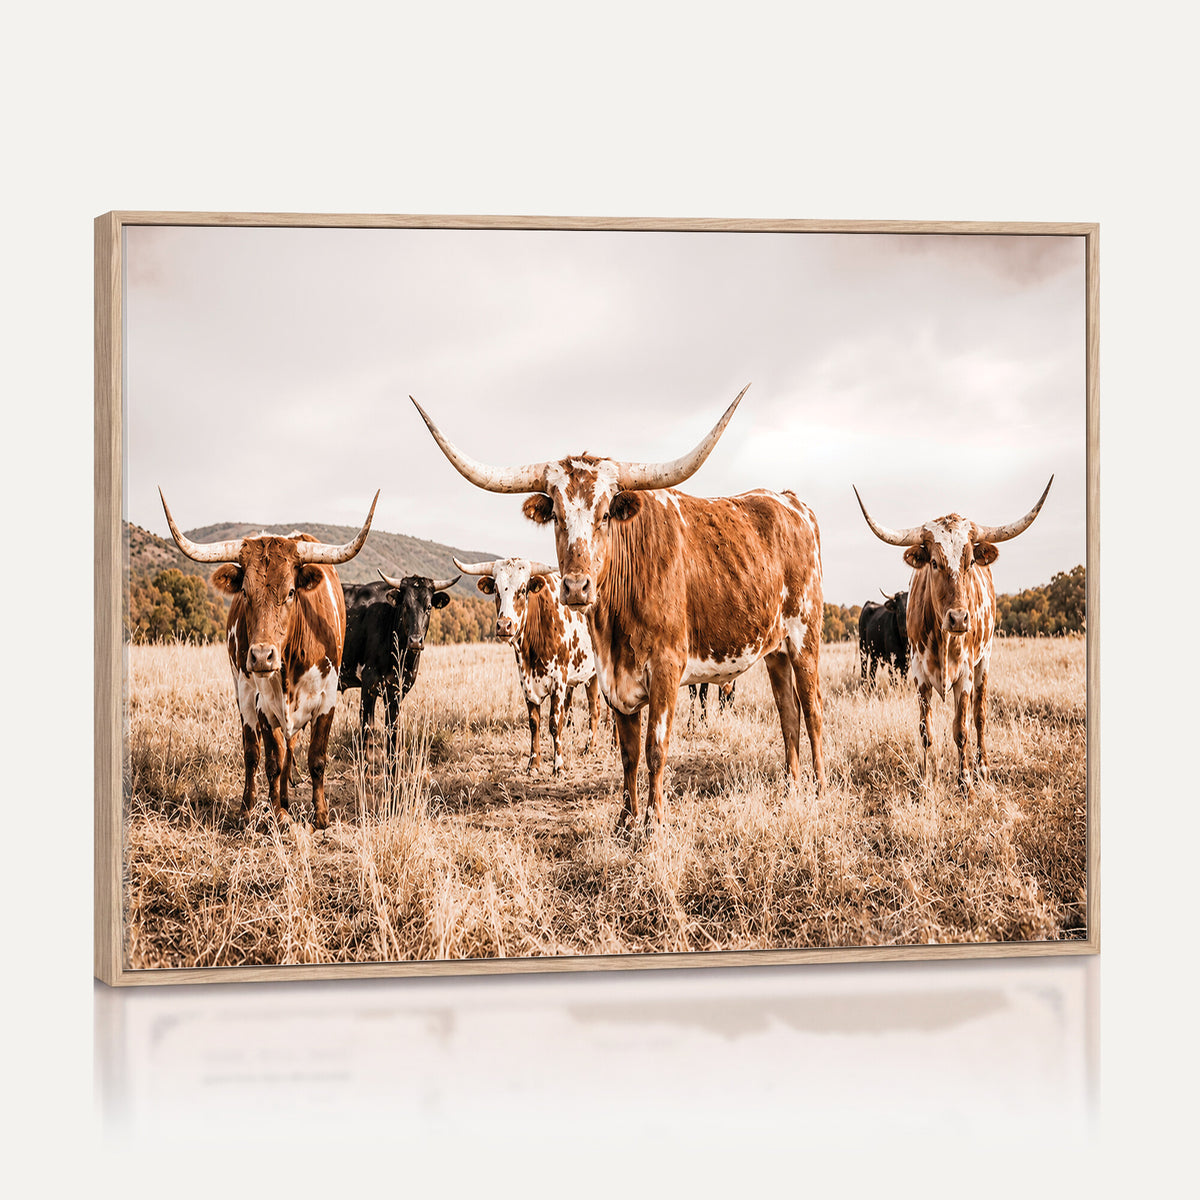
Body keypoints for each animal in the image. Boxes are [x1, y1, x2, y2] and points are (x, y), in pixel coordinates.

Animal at [158, 489, 378, 829]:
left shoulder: (327, 697)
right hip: (244, 694)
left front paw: (321, 815)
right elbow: (271, 760)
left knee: (291, 746)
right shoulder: (261, 701)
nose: (262, 656)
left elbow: (316, 757)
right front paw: (278, 813)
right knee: (255, 753)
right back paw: (249, 808)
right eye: (245, 593)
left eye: (290, 592)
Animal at [338, 570, 459, 758]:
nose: (415, 641)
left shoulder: (397, 690)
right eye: (406, 606)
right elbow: (367, 729)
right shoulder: (368, 684)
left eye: (429, 607)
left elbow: (393, 731)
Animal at [452, 555, 600, 775]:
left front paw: (558, 766)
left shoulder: (559, 680)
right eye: (496, 590)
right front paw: (534, 764)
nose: (504, 626)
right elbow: (534, 723)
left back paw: (601, 746)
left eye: (522, 590)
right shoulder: (526, 681)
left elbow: (555, 723)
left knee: (601, 710)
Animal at [853, 478, 1053, 793]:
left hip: (985, 661)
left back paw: (982, 767)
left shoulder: (965, 675)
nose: (959, 618)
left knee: (979, 716)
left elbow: (961, 729)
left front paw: (965, 780)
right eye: (934, 563)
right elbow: (926, 731)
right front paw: (928, 779)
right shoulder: (918, 675)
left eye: (969, 562)